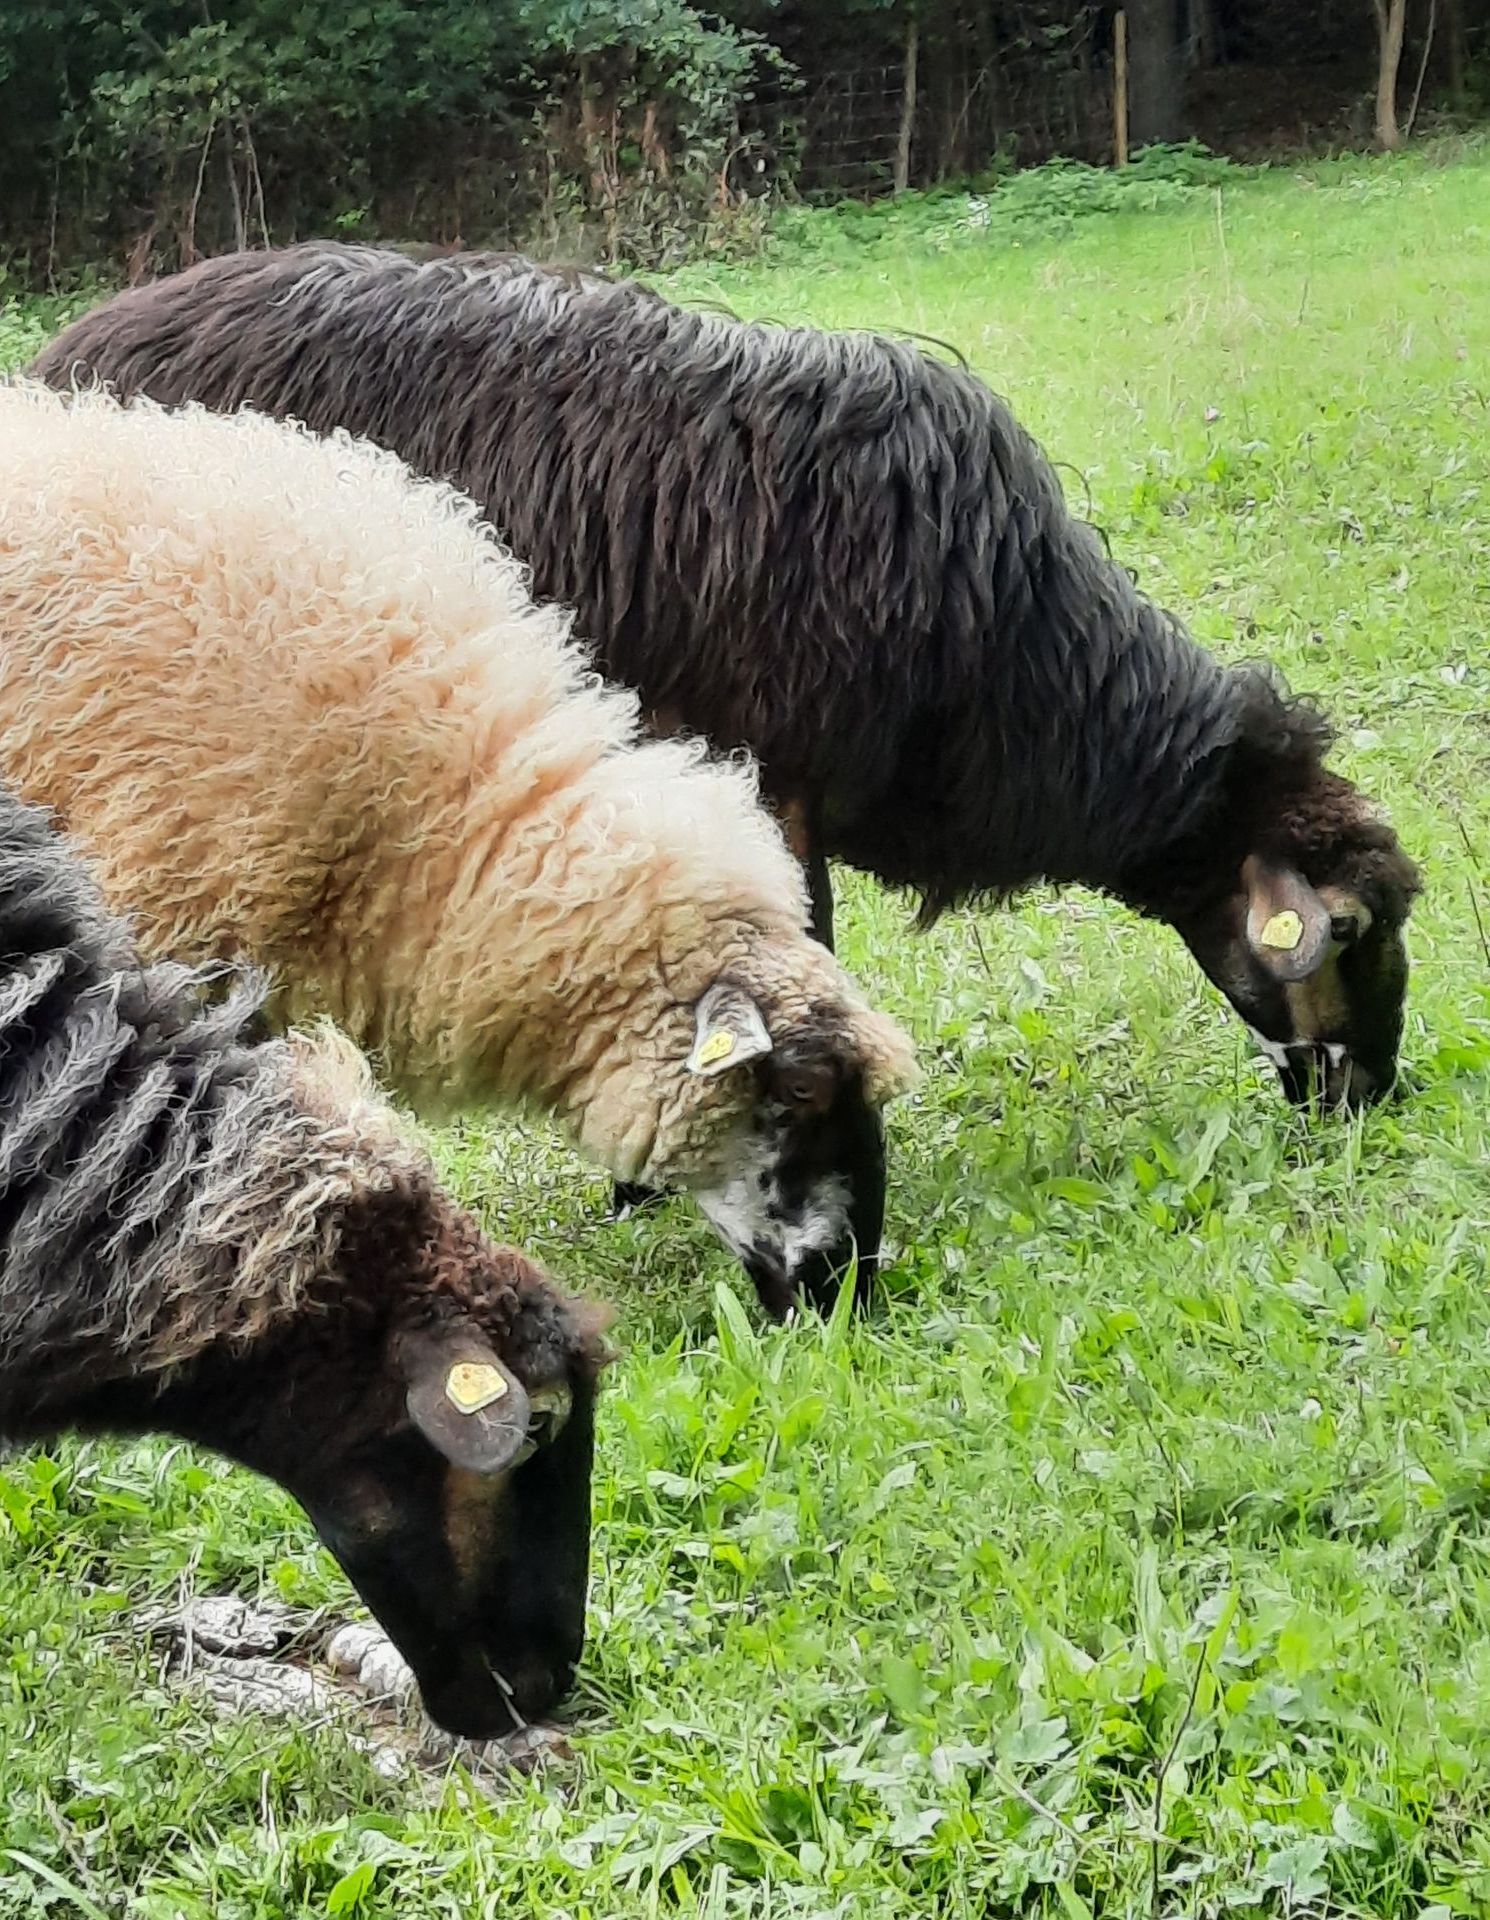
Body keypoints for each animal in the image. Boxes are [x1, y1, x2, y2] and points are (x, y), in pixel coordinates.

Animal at [31, 243, 1422, 1110]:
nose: (1368, 1099)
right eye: (1345, 930)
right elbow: (798, 934)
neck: (1015, 672)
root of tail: (58, 356)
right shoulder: (774, 767)